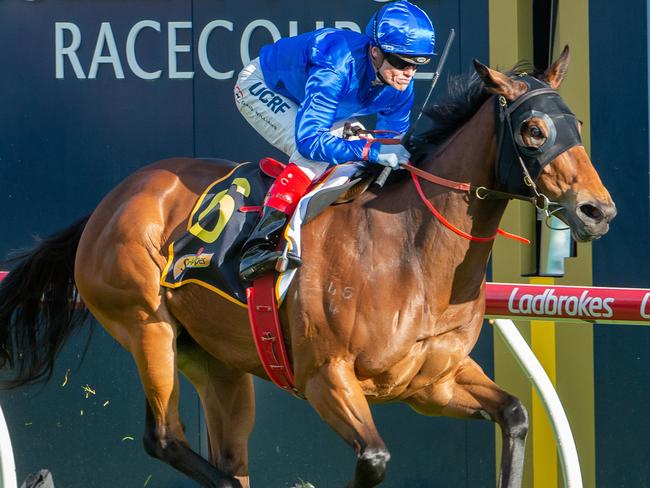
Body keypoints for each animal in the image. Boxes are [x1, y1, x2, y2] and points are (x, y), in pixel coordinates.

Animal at [0, 46, 612, 488]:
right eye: (534, 130)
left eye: (579, 124)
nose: (597, 210)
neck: (411, 254)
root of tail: (113, 200)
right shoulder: (325, 376)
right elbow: (373, 458)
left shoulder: (431, 384)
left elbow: (516, 415)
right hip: (147, 327)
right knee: (166, 438)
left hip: (217, 362)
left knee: (228, 455)